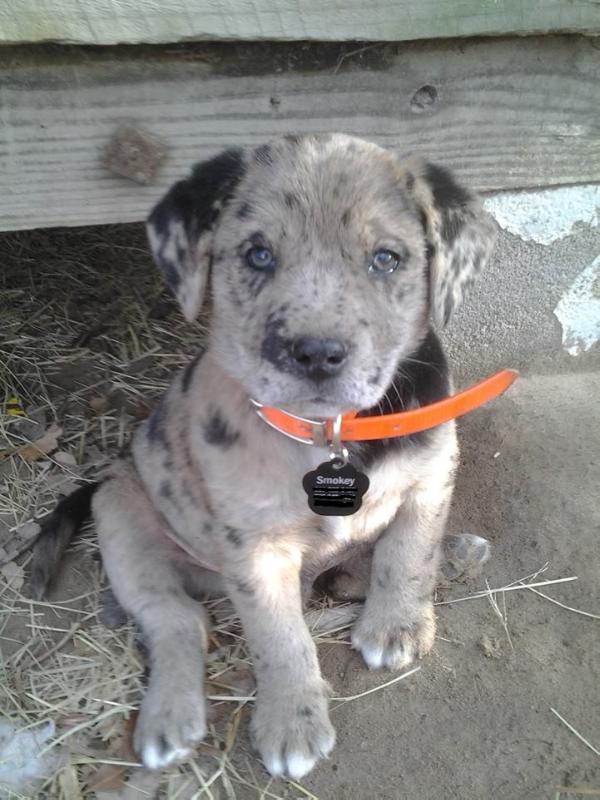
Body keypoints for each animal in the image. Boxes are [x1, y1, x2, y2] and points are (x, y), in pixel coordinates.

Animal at [30, 136, 494, 780]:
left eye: (386, 259)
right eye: (257, 254)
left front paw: (397, 625)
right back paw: (168, 720)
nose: (317, 353)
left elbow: (408, 555)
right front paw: (291, 725)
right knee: (179, 618)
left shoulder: (431, 476)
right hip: (124, 522)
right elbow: (281, 639)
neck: (332, 433)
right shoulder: (256, 553)